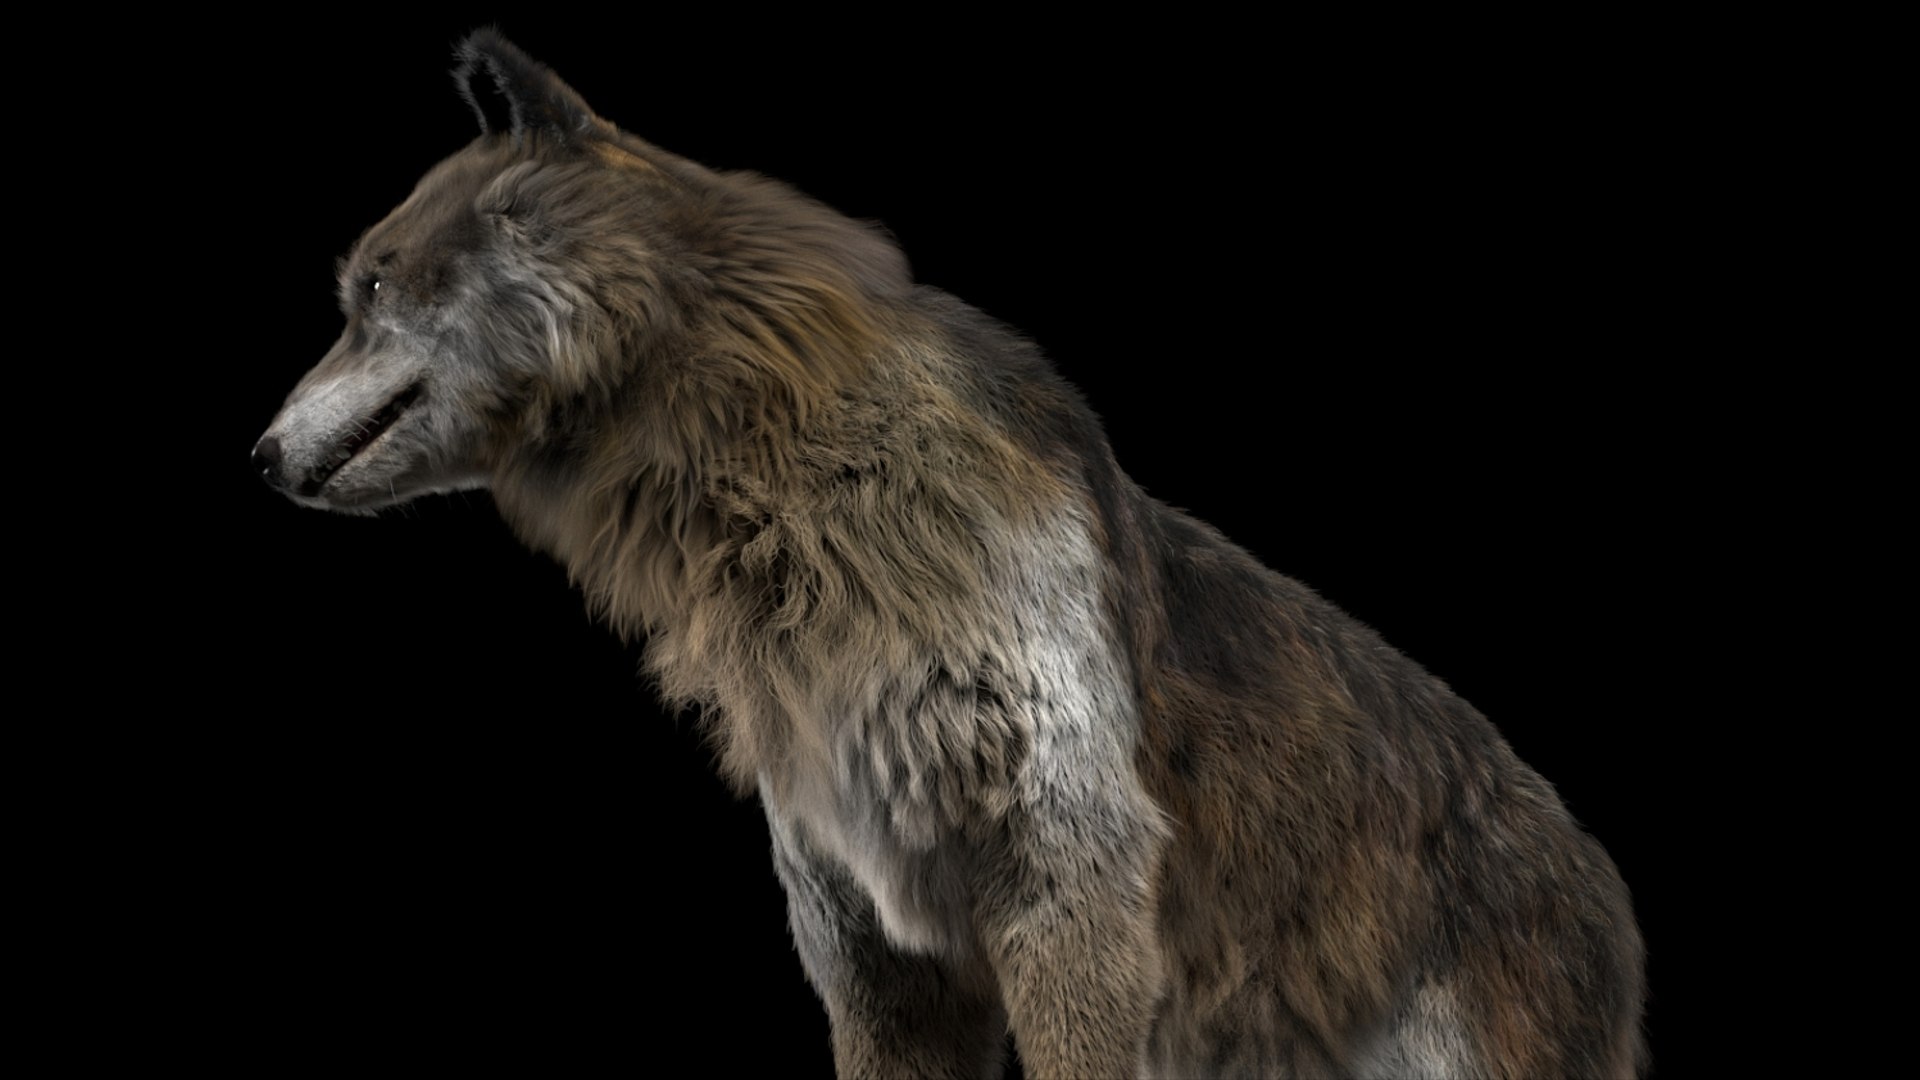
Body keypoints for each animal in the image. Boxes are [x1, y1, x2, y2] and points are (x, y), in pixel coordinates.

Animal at [255, 31, 1645, 1079]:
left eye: (368, 292)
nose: (258, 457)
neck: (799, 502)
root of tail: (1605, 890)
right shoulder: (867, 935)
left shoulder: (1068, 887)